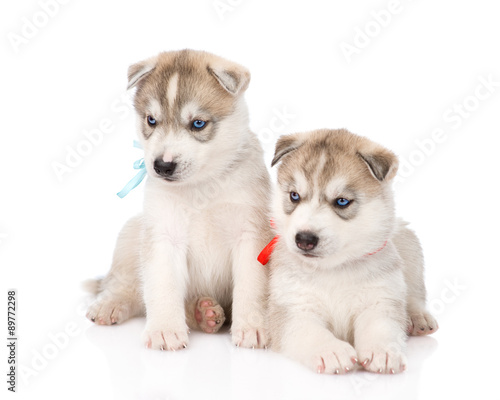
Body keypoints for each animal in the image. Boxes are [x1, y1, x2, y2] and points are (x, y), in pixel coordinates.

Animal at [86, 49, 274, 350]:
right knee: (123, 285)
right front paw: (164, 330)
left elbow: (251, 287)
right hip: (132, 232)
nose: (162, 166)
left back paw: (205, 313)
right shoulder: (163, 235)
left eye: (198, 123)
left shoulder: (250, 235)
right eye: (151, 120)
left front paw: (252, 327)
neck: (201, 186)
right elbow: (162, 287)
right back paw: (110, 304)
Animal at [266, 130, 438, 374]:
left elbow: (381, 327)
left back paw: (418, 317)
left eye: (342, 201)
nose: (304, 239)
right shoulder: (292, 310)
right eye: (294, 196)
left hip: (408, 242)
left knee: (413, 293)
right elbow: (312, 333)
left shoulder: (380, 300)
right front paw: (331, 351)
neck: (333, 270)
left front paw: (384, 351)